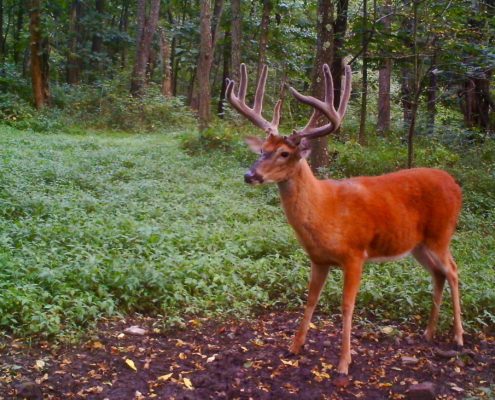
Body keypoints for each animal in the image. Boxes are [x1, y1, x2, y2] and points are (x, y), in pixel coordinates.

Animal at [227, 63, 464, 376]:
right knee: (438, 273)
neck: (325, 211)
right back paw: (428, 332)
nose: (249, 175)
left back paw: (458, 337)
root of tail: (456, 185)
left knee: (453, 270)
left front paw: (343, 363)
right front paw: (294, 346)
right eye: (262, 149)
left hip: (441, 234)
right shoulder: (318, 259)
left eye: (284, 153)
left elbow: (347, 305)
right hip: (418, 245)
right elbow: (311, 299)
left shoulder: (355, 255)